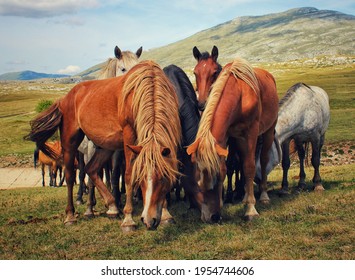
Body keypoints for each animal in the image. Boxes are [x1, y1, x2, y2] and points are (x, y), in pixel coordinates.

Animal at [25, 60, 181, 231]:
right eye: (140, 178)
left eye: (164, 178)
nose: (148, 220)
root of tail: (64, 99)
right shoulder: (129, 136)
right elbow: (128, 174)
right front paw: (128, 219)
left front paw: (165, 213)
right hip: (70, 142)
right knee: (71, 176)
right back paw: (70, 215)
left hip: (105, 145)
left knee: (91, 169)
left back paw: (112, 206)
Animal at [188, 57, 280, 223]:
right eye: (198, 185)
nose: (211, 217)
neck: (239, 93)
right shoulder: (226, 137)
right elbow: (226, 167)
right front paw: (223, 202)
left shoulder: (251, 132)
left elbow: (249, 166)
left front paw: (251, 209)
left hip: (268, 131)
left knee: (263, 160)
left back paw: (263, 195)